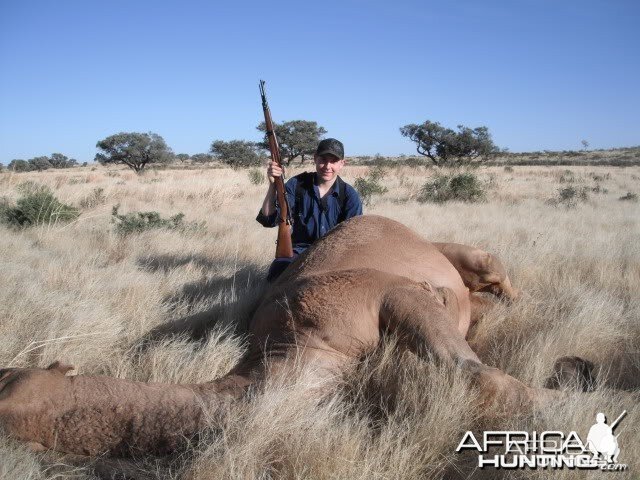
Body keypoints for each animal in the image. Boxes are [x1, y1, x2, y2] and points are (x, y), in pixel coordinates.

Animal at [1, 215, 564, 458]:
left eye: (7, 381)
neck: (297, 345)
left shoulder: (391, 293)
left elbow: (478, 374)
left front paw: (567, 399)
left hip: (465, 256)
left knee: (494, 272)